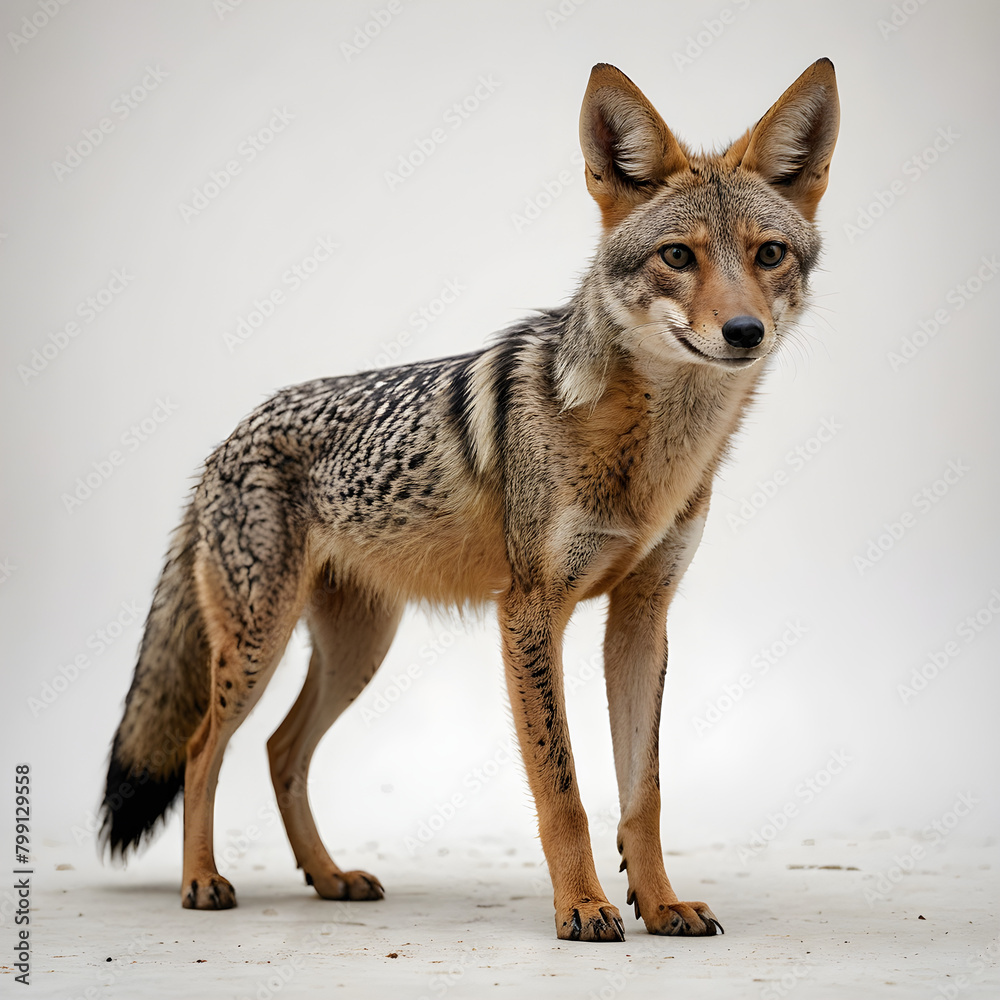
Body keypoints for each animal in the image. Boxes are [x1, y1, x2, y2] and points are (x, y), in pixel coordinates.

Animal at [101, 59, 839, 942]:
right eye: (677, 256)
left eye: (769, 254)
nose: (744, 332)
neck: (649, 454)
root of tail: (227, 439)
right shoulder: (528, 612)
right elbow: (564, 789)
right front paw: (583, 907)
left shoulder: (641, 618)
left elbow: (645, 795)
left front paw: (660, 905)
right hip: (259, 646)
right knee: (201, 750)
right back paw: (202, 881)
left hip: (356, 651)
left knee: (281, 750)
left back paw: (328, 877)